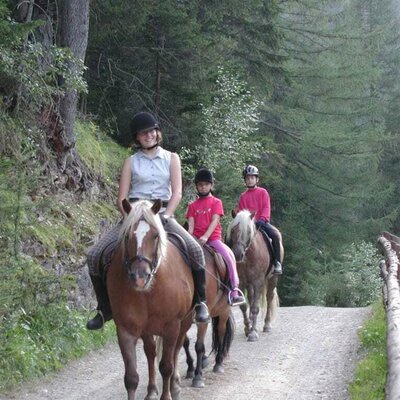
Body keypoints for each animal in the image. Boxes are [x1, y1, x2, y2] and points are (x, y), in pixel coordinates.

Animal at [106, 200, 194, 400]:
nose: (140, 277)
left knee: (176, 350)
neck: (149, 292)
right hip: (147, 329)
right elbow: (131, 377)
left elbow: (167, 366)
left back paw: (175, 386)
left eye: (155, 235)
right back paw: (152, 390)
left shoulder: (172, 326)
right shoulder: (126, 330)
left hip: (184, 322)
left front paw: (167, 395)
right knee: (151, 352)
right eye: (127, 235)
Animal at [227, 209, 280, 340]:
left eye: (249, 231)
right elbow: (244, 306)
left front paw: (253, 333)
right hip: (249, 283)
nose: (237, 254)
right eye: (232, 230)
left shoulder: (258, 282)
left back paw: (267, 325)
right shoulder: (241, 282)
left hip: (272, 278)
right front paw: (247, 328)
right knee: (251, 298)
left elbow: (255, 307)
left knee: (269, 297)